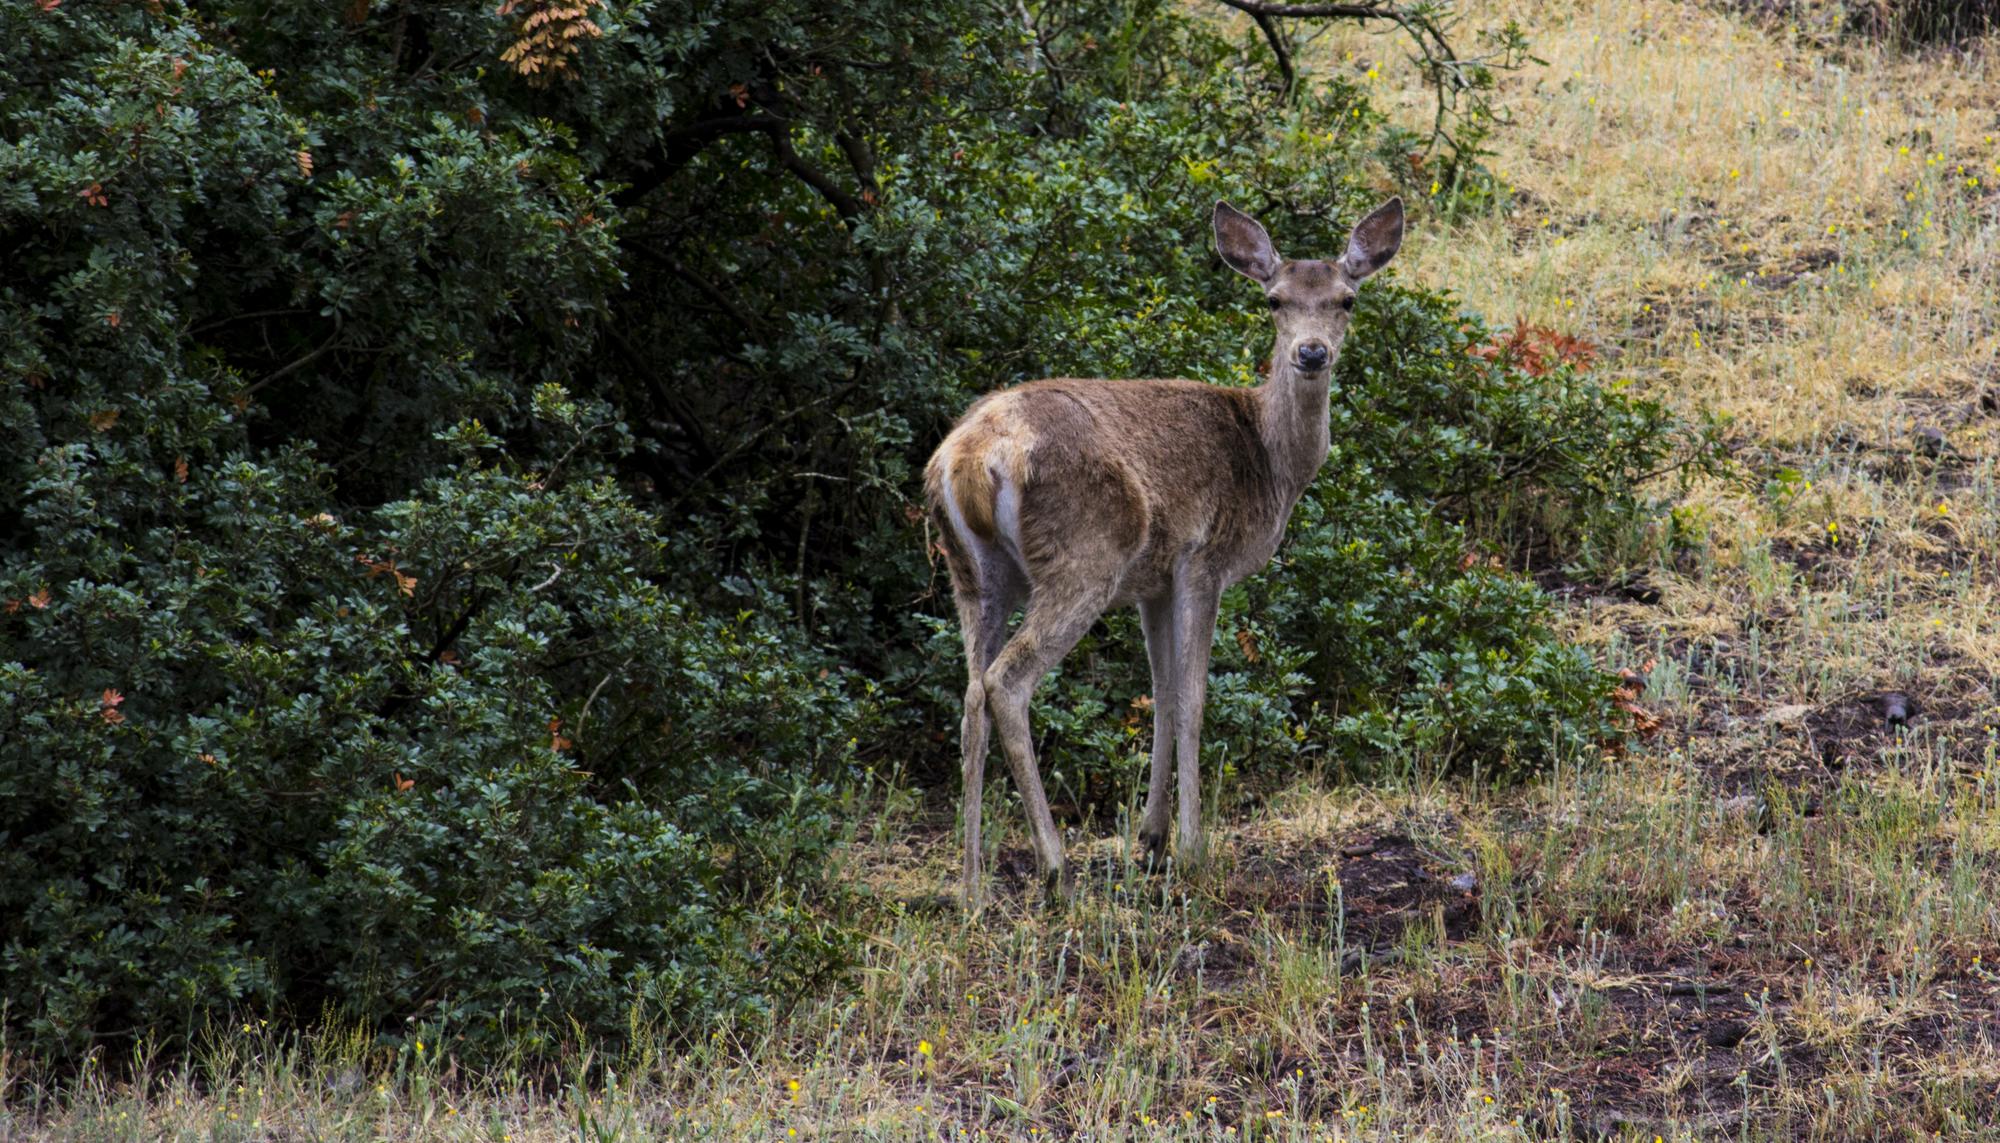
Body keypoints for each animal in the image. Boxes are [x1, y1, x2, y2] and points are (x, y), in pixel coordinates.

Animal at [924, 198, 1408, 911]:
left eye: (1346, 300)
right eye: (1274, 300)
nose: (1311, 352)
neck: (1270, 464)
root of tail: (968, 458)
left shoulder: (1152, 583)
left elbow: (1160, 691)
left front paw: (1150, 842)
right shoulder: (1203, 560)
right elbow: (1194, 699)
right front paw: (1192, 849)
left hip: (972, 572)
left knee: (968, 697)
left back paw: (971, 884)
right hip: (1084, 557)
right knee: (1005, 683)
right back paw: (1055, 868)